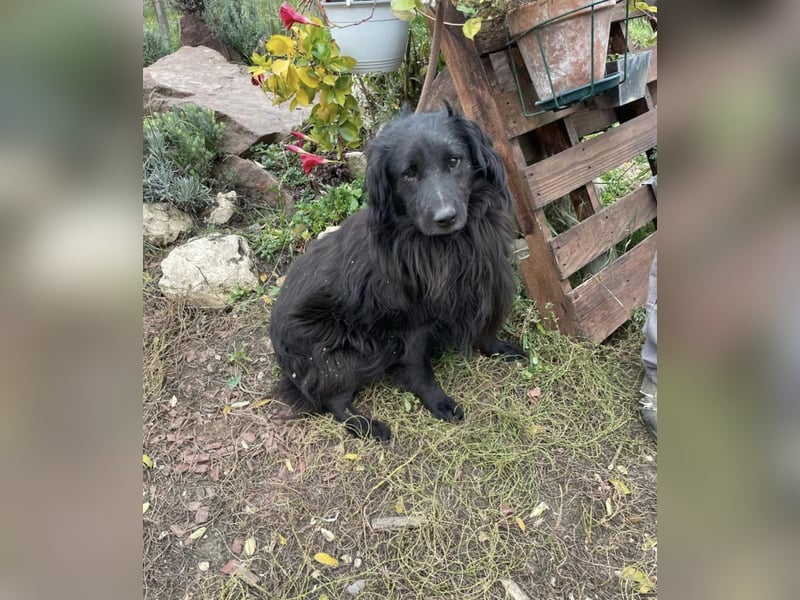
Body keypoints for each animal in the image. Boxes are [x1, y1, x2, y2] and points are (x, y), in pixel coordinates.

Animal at [272, 106, 528, 440]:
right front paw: (438, 402)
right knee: (333, 401)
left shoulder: (484, 286)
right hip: (346, 354)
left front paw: (499, 349)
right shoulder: (411, 323)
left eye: (454, 160)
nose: (445, 217)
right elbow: (419, 369)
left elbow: (486, 332)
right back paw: (369, 426)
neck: (448, 246)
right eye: (409, 173)